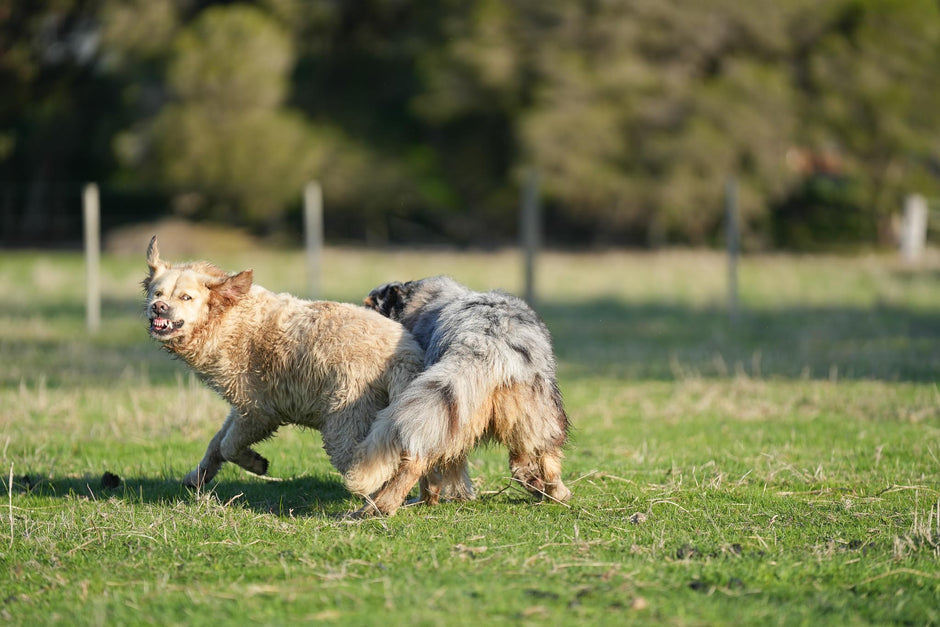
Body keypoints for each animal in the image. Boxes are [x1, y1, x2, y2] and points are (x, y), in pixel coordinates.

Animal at [344, 278, 568, 516]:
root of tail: (488, 342)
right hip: (532, 412)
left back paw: (383, 506)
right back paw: (553, 492)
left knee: (418, 460)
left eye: (370, 305)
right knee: (541, 458)